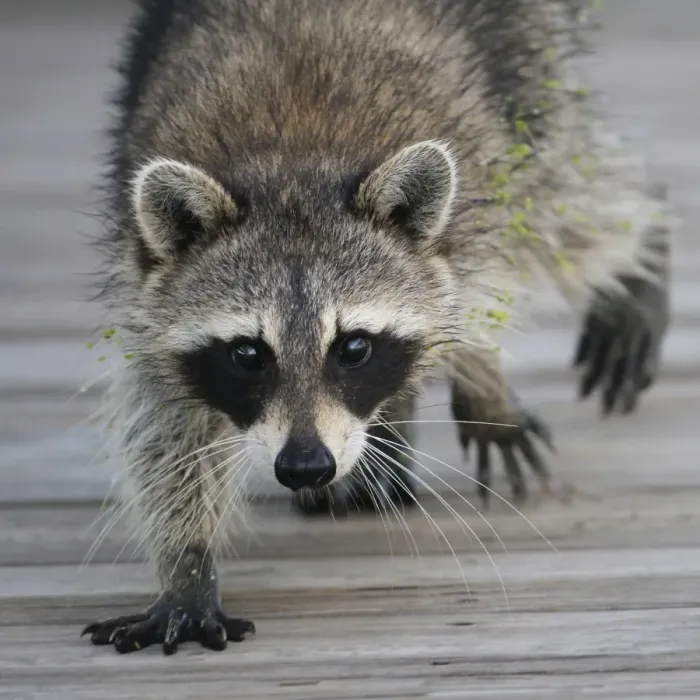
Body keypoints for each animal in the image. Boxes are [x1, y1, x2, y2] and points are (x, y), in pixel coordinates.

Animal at [82, 0, 672, 654]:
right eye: (248, 354)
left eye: (354, 348)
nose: (305, 466)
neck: (291, 170)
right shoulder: (148, 283)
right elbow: (165, 427)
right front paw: (187, 565)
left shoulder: (475, 193)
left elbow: (477, 288)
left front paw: (484, 384)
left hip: (524, 64)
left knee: (568, 203)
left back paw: (645, 240)